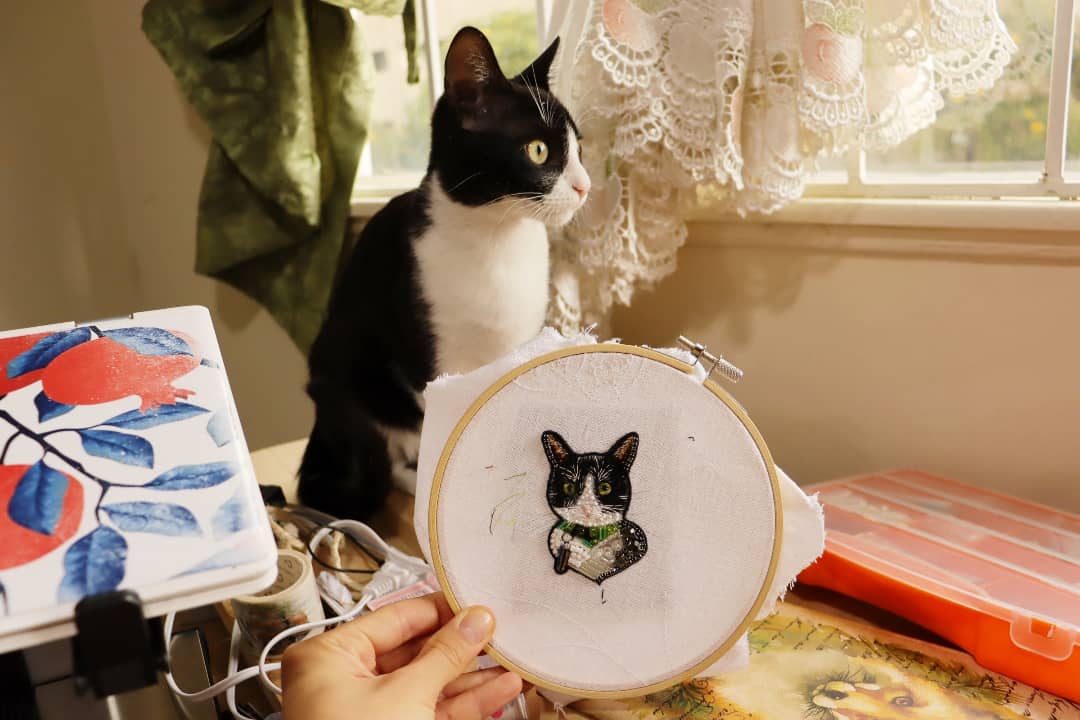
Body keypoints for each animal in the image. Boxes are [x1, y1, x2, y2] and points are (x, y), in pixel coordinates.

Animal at [298, 27, 590, 521]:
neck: (498, 240)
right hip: (343, 373)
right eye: (538, 151)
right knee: (387, 456)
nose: (585, 185)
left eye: (578, 149)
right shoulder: (427, 357)